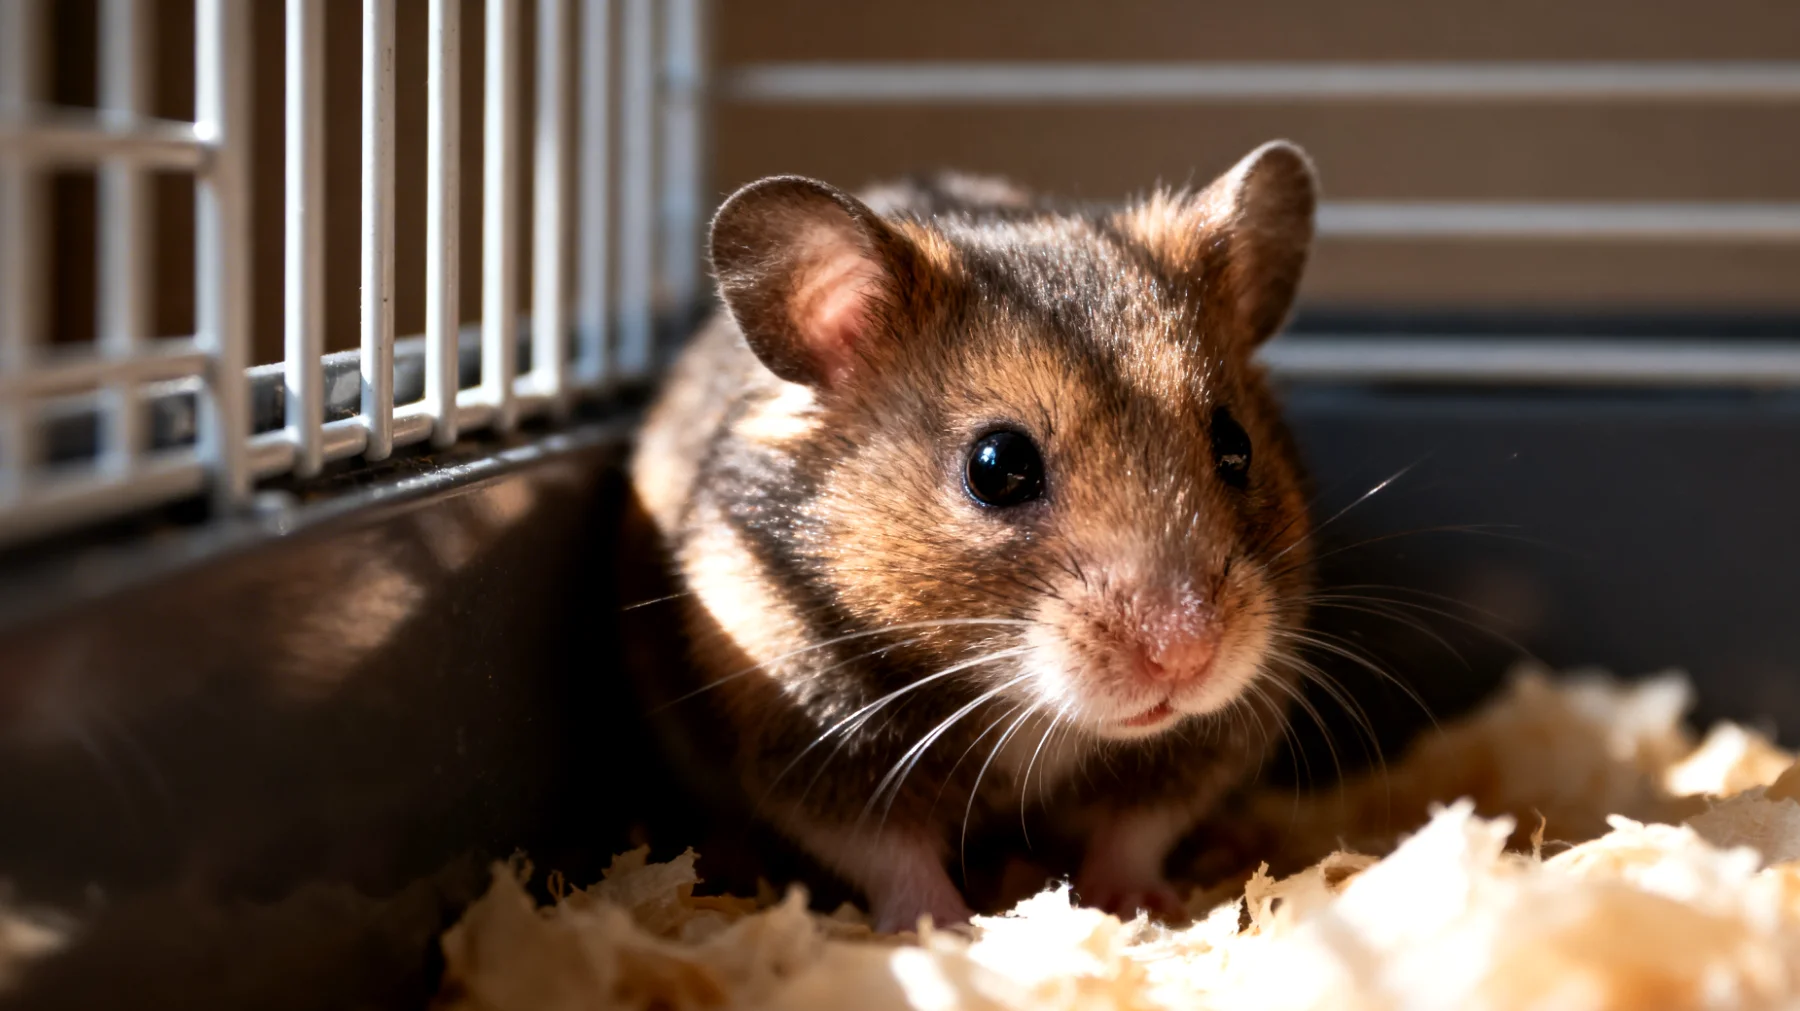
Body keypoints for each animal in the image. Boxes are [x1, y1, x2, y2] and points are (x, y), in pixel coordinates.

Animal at [628, 141, 1319, 933]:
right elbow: (889, 853)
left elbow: (1135, 830)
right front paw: (942, 930)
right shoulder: (816, 737)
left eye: (1236, 445)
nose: (1187, 657)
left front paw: (1143, 909)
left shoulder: (1204, 743)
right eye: (997, 466)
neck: (1020, 698)